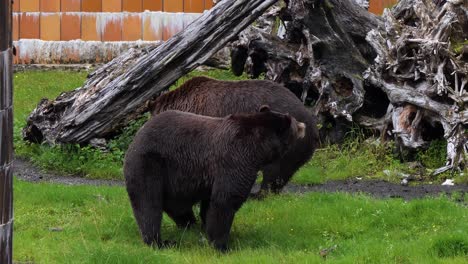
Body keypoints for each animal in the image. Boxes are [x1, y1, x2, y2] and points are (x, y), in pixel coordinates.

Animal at [124, 106, 308, 251]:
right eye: (293, 122)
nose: (303, 125)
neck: (259, 148)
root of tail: (137, 136)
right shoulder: (236, 158)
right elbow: (226, 199)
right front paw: (222, 245)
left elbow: (210, 203)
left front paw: (207, 230)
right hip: (150, 164)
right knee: (148, 203)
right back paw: (160, 242)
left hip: (174, 179)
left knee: (176, 206)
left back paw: (189, 224)